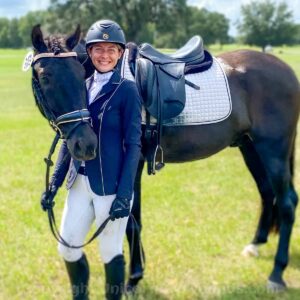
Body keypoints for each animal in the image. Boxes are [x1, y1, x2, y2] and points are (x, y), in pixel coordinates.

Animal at [31, 26, 298, 292]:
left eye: (79, 75)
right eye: (45, 77)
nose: (85, 145)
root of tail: (285, 70)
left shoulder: (133, 164)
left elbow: (131, 220)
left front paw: (133, 279)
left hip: (273, 150)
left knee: (286, 203)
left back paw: (276, 274)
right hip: (250, 147)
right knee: (267, 192)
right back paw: (255, 245)